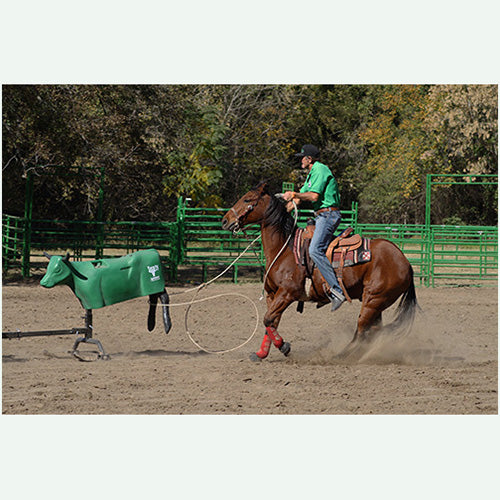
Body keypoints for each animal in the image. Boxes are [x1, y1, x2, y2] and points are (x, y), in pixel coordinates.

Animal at [223, 182, 418, 362]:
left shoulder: (287, 293)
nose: (225, 220)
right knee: (373, 330)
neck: (284, 249)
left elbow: (267, 319)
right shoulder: (272, 294)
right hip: (376, 302)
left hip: (373, 299)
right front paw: (261, 353)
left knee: (362, 328)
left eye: (247, 199)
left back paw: (340, 355)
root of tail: (405, 262)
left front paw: (284, 347)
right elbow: (271, 323)